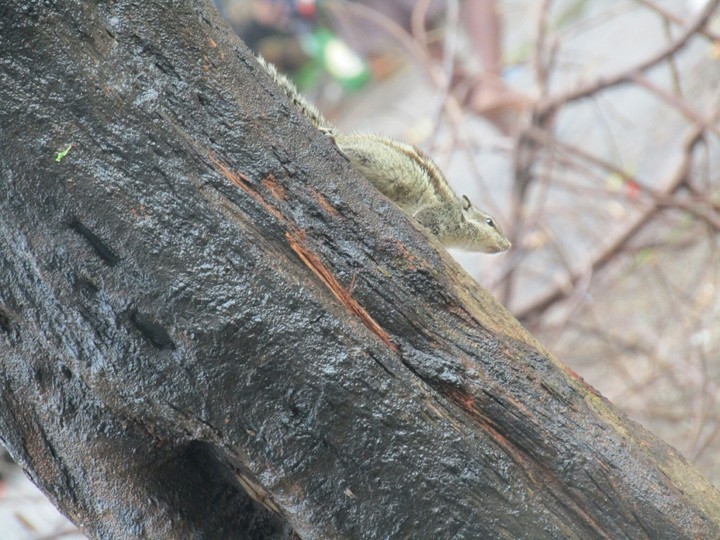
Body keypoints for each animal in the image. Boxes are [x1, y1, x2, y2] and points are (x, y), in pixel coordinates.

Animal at [256, 56, 511, 254]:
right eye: (490, 222)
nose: (508, 245)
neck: (458, 216)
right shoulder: (436, 215)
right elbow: (423, 222)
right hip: (377, 159)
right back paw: (334, 142)